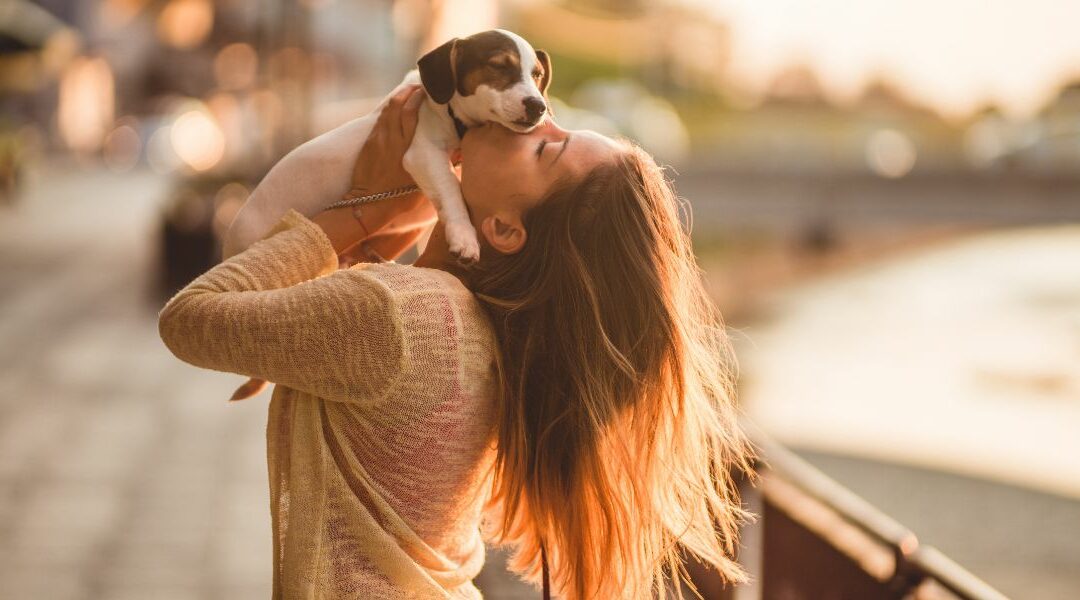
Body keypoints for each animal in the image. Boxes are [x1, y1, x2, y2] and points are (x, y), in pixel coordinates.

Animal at [222, 29, 552, 403]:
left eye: (538, 75)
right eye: (498, 66)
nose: (538, 106)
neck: (450, 117)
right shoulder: (423, 153)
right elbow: (452, 190)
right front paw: (464, 236)